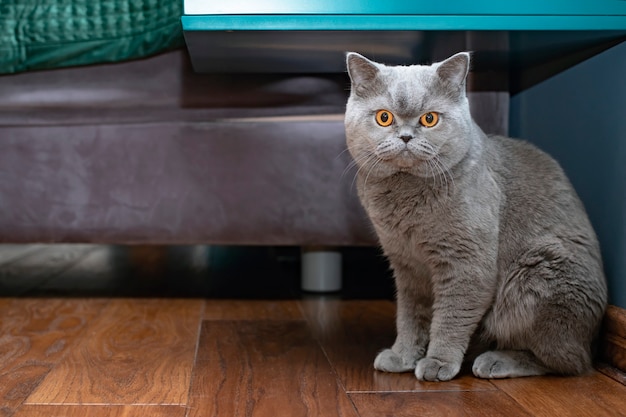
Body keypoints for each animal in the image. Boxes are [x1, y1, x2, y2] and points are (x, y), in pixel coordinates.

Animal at [344, 52, 608, 380]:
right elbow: (410, 316)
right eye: (384, 117)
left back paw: (494, 361)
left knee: (567, 362)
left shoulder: (467, 264)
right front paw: (403, 356)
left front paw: (438, 362)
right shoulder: (406, 266)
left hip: (537, 274)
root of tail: (594, 341)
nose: (405, 136)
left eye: (429, 118)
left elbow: (451, 317)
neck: (406, 195)